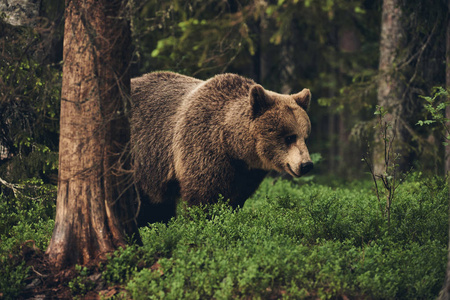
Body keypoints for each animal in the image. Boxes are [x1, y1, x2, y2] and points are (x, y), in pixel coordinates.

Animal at [130, 71, 312, 225]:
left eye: (305, 136)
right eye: (289, 137)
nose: (306, 165)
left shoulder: (246, 173)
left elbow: (235, 199)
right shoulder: (202, 147)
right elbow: (204, 198)